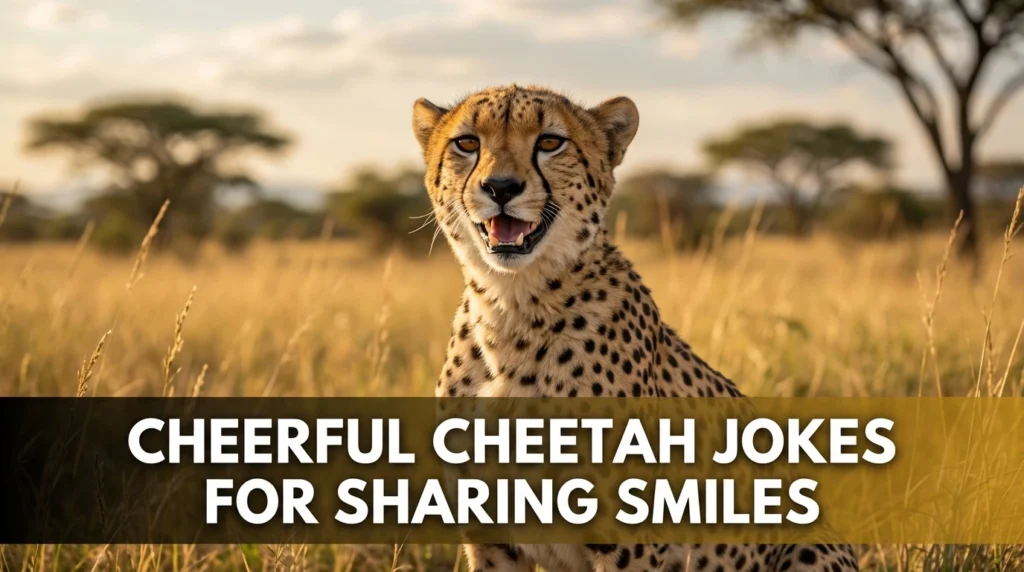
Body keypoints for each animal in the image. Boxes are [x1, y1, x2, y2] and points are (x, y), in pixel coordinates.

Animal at [411, 84, 859, 572]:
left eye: (550, 142)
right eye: (467, 143)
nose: (501, 187)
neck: (511, 306)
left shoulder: (628, 542)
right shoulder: (490, 537)